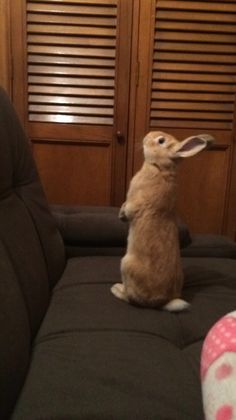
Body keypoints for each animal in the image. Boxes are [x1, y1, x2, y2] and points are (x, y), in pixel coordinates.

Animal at [110, 131, 214, 312]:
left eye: (161, 141)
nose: (146, 136)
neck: (159, 168)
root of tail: (162, 302)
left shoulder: (134, 202)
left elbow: (129, 209)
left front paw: (122, 215)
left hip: (126, 265)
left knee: (132, 298)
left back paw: (117, 289)